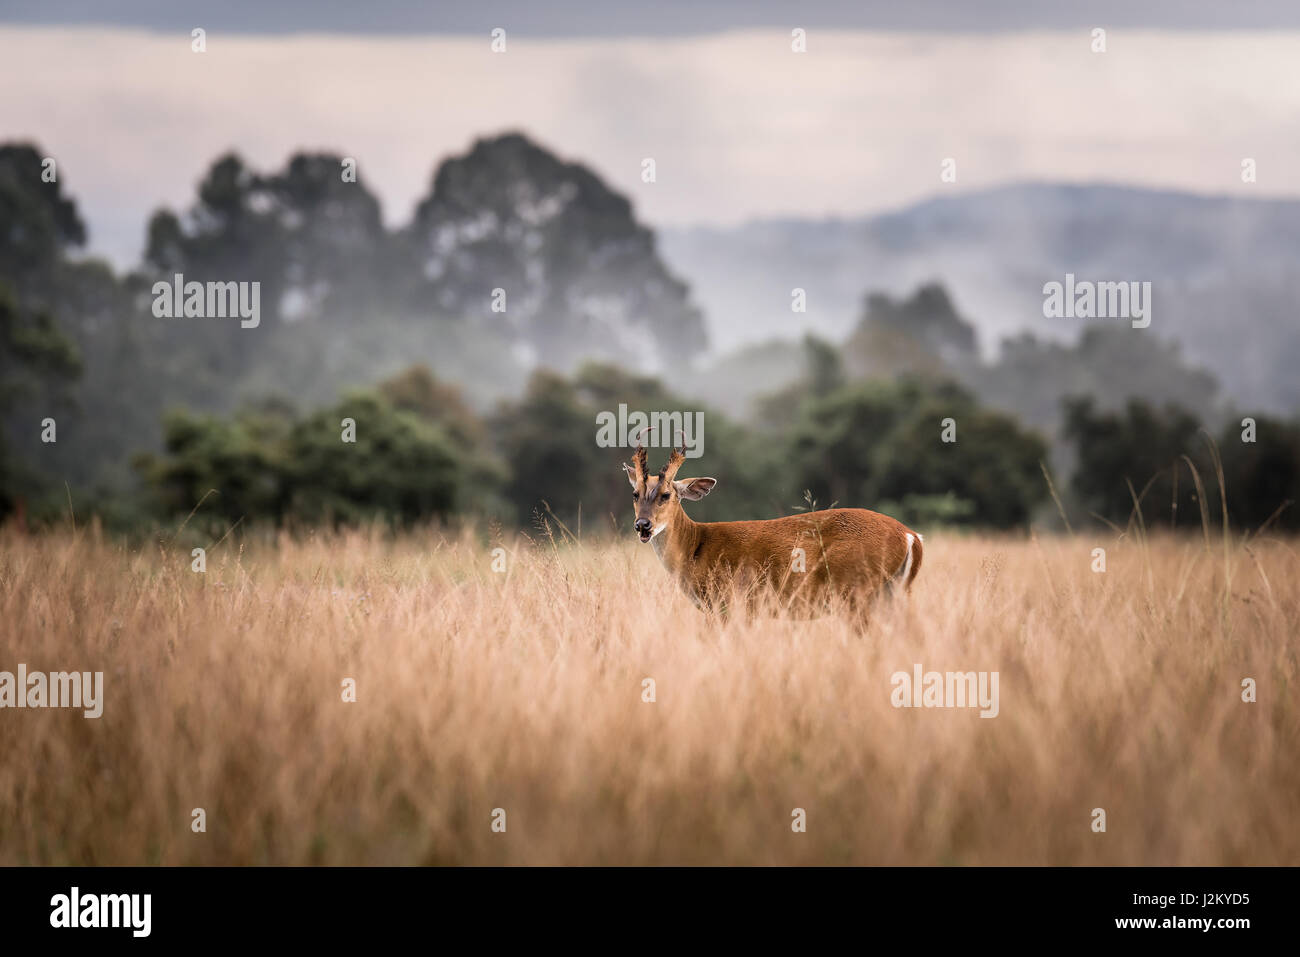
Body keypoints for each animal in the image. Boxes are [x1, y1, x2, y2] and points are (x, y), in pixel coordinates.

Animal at [621, 431, 920, 624]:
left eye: (666, 495)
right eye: (635, 494)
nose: (642, 525)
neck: (695, 546)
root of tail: (911, 536)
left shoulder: (726, 604)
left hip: (857, 593)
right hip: (892, 593)